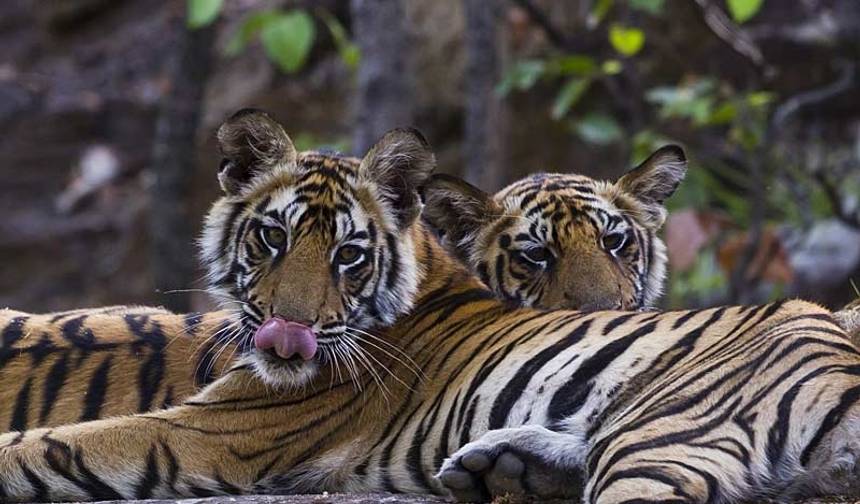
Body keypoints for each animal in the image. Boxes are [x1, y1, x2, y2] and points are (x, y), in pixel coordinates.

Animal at [0, 109, 859, 504]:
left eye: (348, 253)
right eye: (274, 239)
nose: (288, 336)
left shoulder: (219, 429)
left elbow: (49, 443)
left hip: (665, 429)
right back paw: (502, 463)